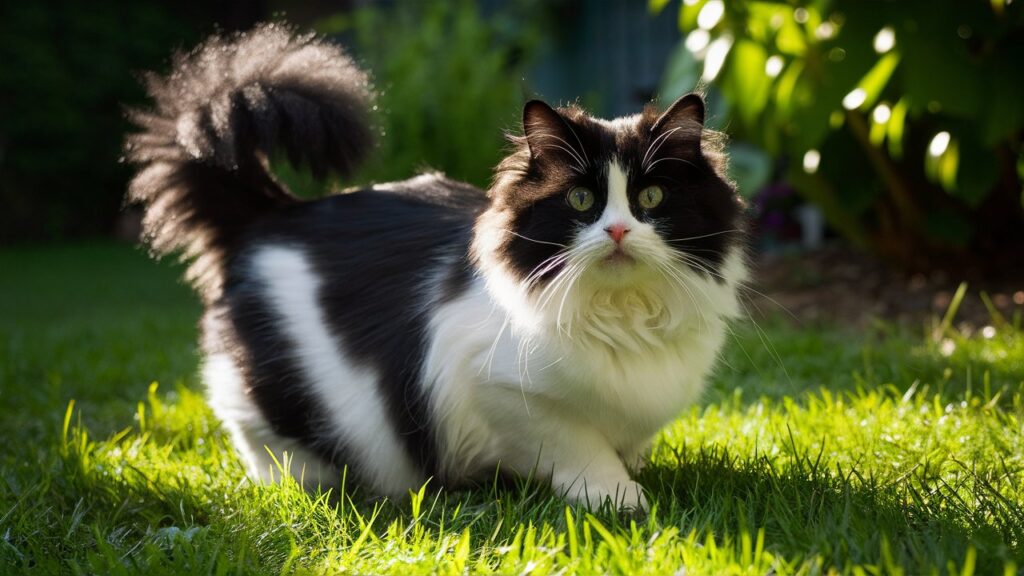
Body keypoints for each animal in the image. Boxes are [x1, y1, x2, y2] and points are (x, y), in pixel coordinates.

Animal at [125, 23, 745, 510]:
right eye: (581, 201)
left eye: (651, 199)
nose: (618, 231)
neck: (621, 314)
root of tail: (274, 211)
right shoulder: (501, 391)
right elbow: (579, 445)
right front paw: (616, 496)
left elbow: (624, 443)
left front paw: (631, 476)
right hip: (270, 397)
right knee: (263, 440)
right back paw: (306, 487)